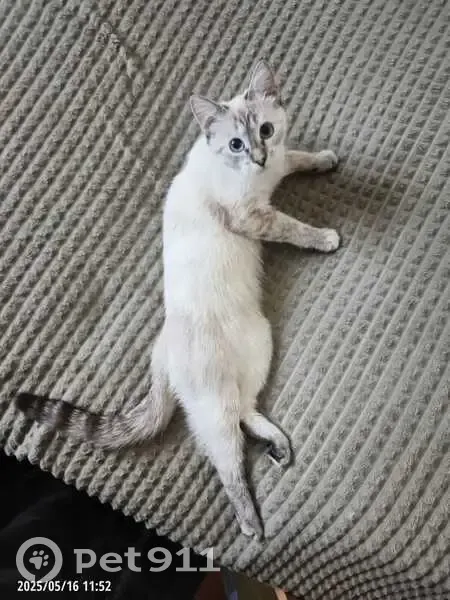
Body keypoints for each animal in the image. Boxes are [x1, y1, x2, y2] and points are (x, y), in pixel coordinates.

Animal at [16, 60, 340, 539]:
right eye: (236, 144)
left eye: (265, 130)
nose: (258, 156)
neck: (255, 174)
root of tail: (161, 351)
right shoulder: (253, 216)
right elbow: (294, 227)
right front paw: (325, 237)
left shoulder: (277, 167)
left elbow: (296, 157)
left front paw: (323, 159)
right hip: (214, 404)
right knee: (228, 460)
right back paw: (251, 523)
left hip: (259, 348)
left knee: (247, 412)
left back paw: (278, 445)